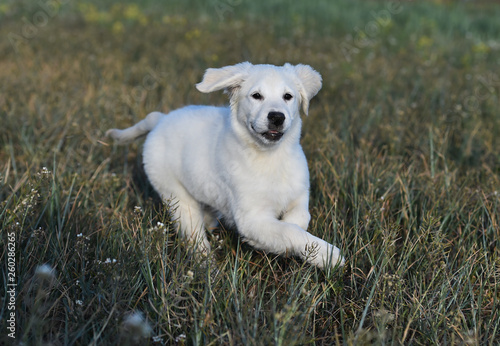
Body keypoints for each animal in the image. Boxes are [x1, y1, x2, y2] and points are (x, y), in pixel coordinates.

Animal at [106, 62, 344, 270]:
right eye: (256, 96)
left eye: (288, 96)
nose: (277, 117)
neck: (270, 157)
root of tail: (160, 119)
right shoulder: (251, 219)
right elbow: (289, 232)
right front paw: (327, 255)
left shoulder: (299, 195)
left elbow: (299, 220)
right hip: (176, 195)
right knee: (194, 237)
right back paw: (208, 268)